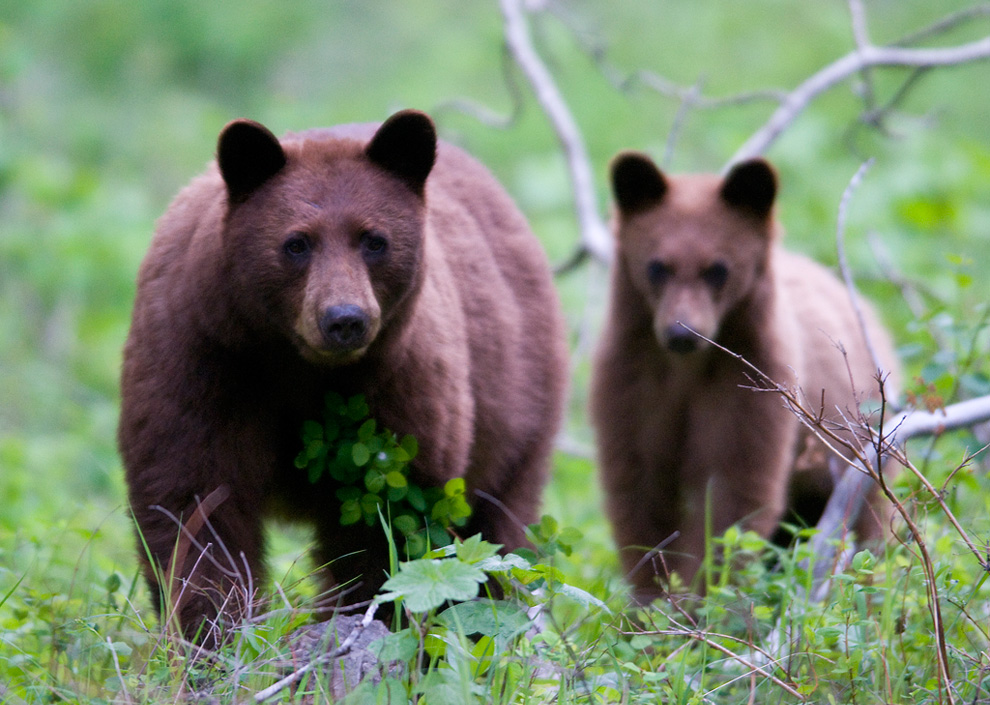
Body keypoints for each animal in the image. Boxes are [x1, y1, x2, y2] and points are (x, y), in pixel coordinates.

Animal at [120, 110, 568, 644]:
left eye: (375, 240)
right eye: (295, 243)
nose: (345, 319)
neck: (295, 363)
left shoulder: (399, 386)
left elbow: (388, 526)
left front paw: (361, 625)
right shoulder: (202, 358)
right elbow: (192, 503)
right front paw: (213, 636)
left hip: (519, 403)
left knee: (497, 535)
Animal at [592, 154, 904, 600]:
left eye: (718, 269)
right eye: (657, 267)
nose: (682, 333)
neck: (687, 370)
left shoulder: (750, 384)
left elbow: (735, 495)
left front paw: (703, 603)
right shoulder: (633, 382)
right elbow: (640, 492)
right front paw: (654, 602)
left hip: (860, 450)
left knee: (866, 532)